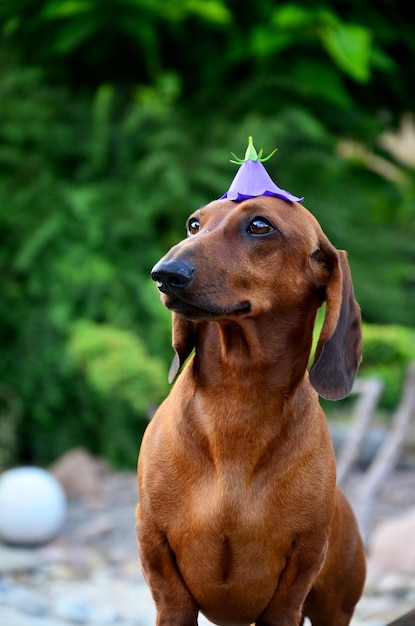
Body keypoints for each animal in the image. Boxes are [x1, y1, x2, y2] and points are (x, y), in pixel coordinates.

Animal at [137, 196, 368, 624]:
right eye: (194, 224)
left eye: (260, 226)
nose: (164, 274)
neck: (238, 400)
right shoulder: (158, 559)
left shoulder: (298, 572)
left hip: (335, 608)